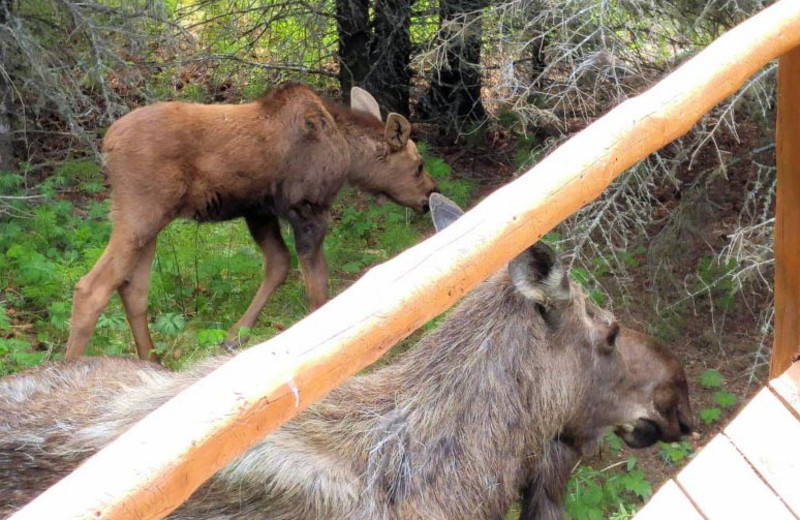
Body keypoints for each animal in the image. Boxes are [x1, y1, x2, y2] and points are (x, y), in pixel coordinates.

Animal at [65, 84, 434, 362]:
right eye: (418, 165)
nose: (430, 192)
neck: (347, 152)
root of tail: (108, 144)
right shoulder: (308, 208)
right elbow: (317, 285)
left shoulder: (258, 211)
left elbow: (279, 264)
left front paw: (234, 336)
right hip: (141, 211)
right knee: (91, 288)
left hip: (149, 223)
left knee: (133, 289)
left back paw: (152, 363)